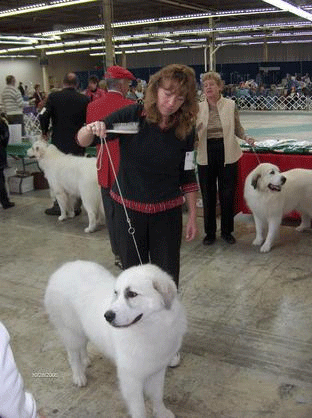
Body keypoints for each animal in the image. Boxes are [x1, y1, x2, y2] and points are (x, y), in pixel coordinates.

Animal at [43, 260, 185, 416]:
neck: (151, 327)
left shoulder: (157, 370)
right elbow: (139, 409)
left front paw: (162, 413)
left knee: (83, 345)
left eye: (132, 294)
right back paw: (78, 376)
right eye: (116, 293)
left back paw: (85, 359)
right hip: (71, 332)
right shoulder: (131, 378)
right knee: (73, 355)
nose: (107, 316)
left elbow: (157, 396)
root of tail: (63, 268)